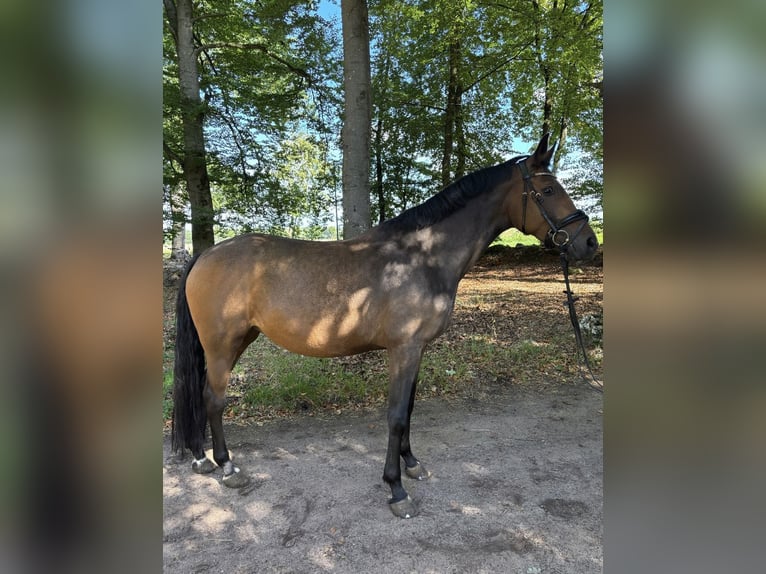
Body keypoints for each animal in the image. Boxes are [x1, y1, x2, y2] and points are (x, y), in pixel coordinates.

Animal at [171, 133, 598, 518]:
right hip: (222, 344)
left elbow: (408, 409)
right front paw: (396, 490)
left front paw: (412, 465)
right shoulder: (403, 349)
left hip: (237, 340)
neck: (422, 258)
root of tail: (205, 254)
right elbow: (395, 416)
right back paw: (227, 467)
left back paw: (202, 458)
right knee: (213, 399)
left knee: (202, 395)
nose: (589, 244)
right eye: (547, 189)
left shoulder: (418, 350)